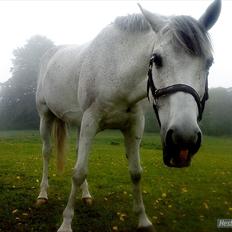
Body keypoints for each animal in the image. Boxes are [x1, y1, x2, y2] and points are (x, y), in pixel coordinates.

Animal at [35, 0, 220, 231]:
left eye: (209, 62)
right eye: (156, 59)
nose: (183, 139)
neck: (117, 69)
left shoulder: (133, 126)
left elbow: (135, 172)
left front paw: (143, 220)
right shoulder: (90, 122)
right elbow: (78, 172)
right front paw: (66, 223)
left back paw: (86, 196)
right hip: (46, 116)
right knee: (47, 152)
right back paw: (42, 195)